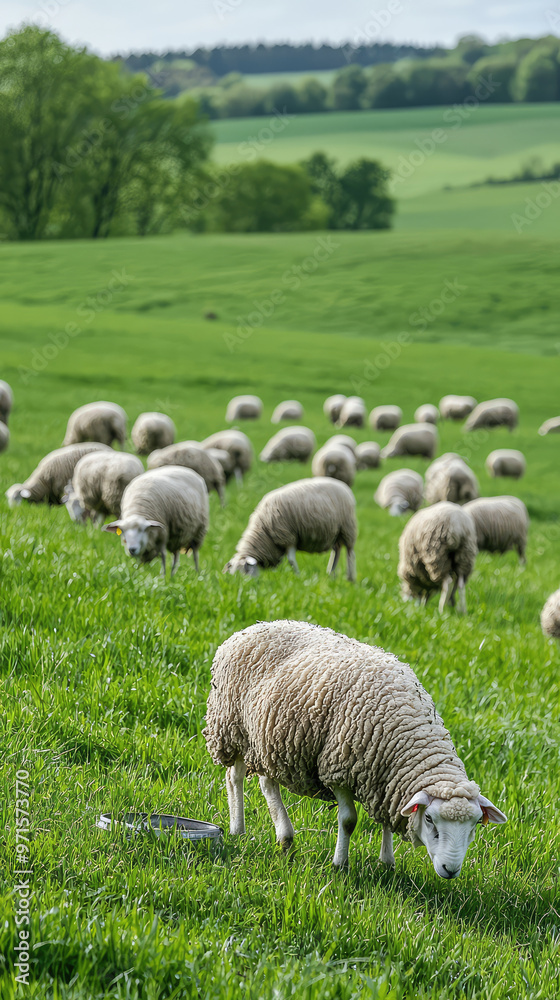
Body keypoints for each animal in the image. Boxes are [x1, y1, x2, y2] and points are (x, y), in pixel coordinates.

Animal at [204, 619, 506, 875]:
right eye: (430, 819)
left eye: (474, 826)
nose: (450, 870)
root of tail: (250, 628)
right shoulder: (338, 768)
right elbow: (349, 821)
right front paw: (340, 864)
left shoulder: (384, 779)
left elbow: (385, 819)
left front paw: (387, 863)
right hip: (231, 727)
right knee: (234, 777)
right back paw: (239, 829)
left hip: (268, 739)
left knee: (267, 783)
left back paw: (284, 837)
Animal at [224, 478, 357, 581]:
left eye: (245, 572)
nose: (247, 587)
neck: (264, 530)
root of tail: (343, 485)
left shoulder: (288, 537)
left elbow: (291, 560)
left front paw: (298, 577)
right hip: (336, 532)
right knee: (336, 551)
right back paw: (330, 574)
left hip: (348, 527)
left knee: (350, 552)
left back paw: (350, 579)